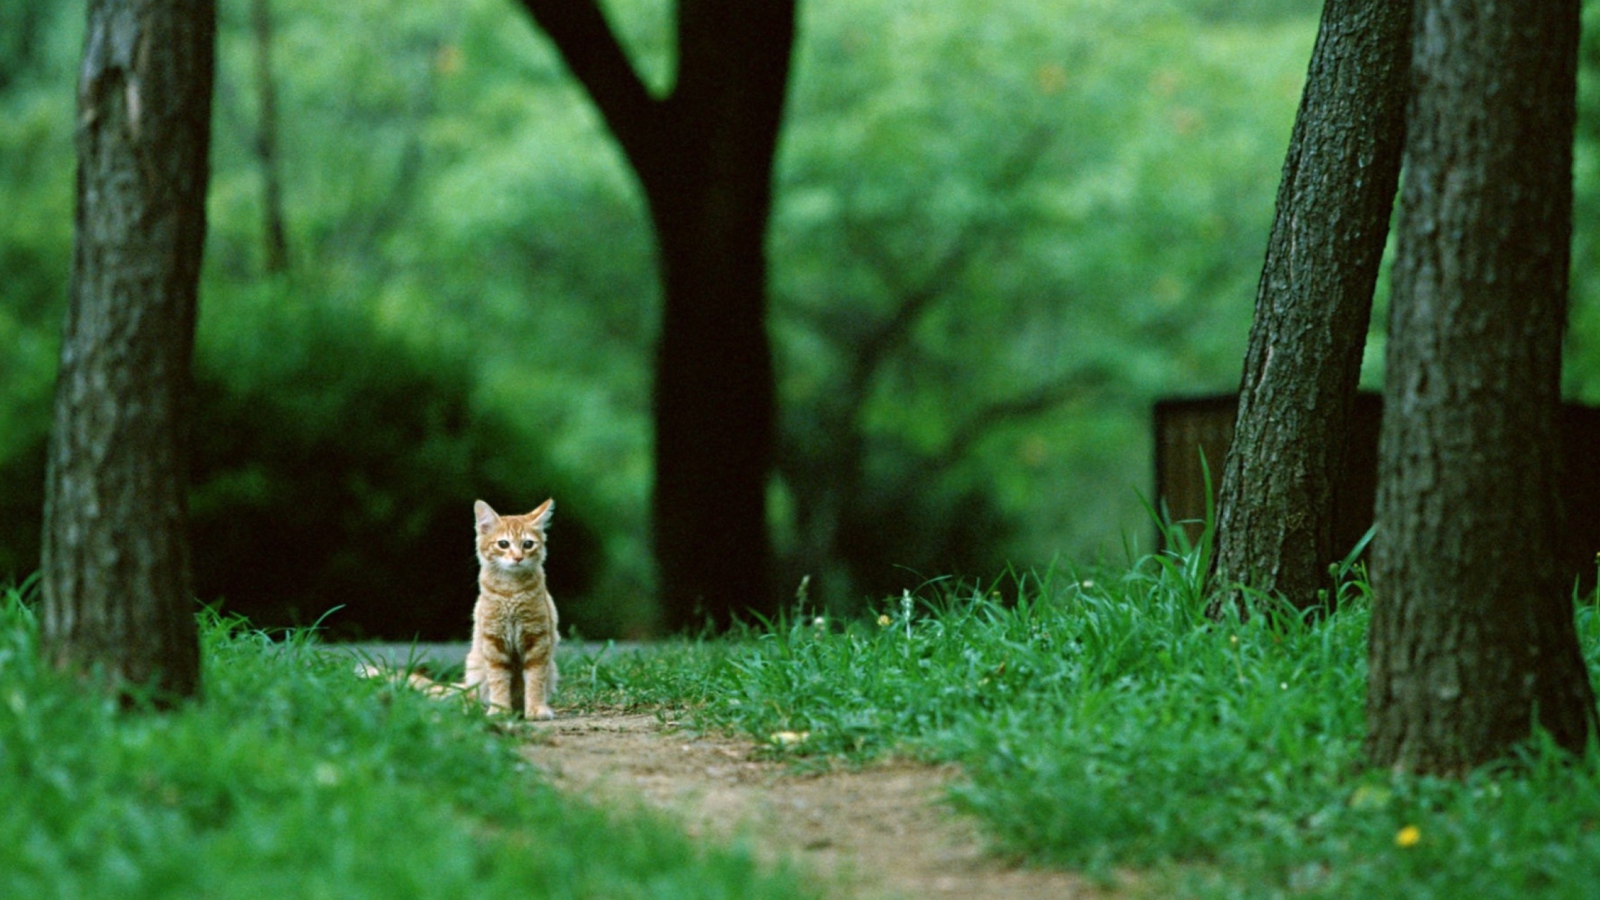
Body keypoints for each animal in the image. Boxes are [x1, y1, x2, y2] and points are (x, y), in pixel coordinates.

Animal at [467, 493, 560, 717]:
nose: (518, 557)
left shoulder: (537, 639)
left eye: (528, 544)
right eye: (503, 544)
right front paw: (500, 710)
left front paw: (536, 709)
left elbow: (535, 679)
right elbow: (498, 680)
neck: (511, 592)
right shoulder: (493, 641)